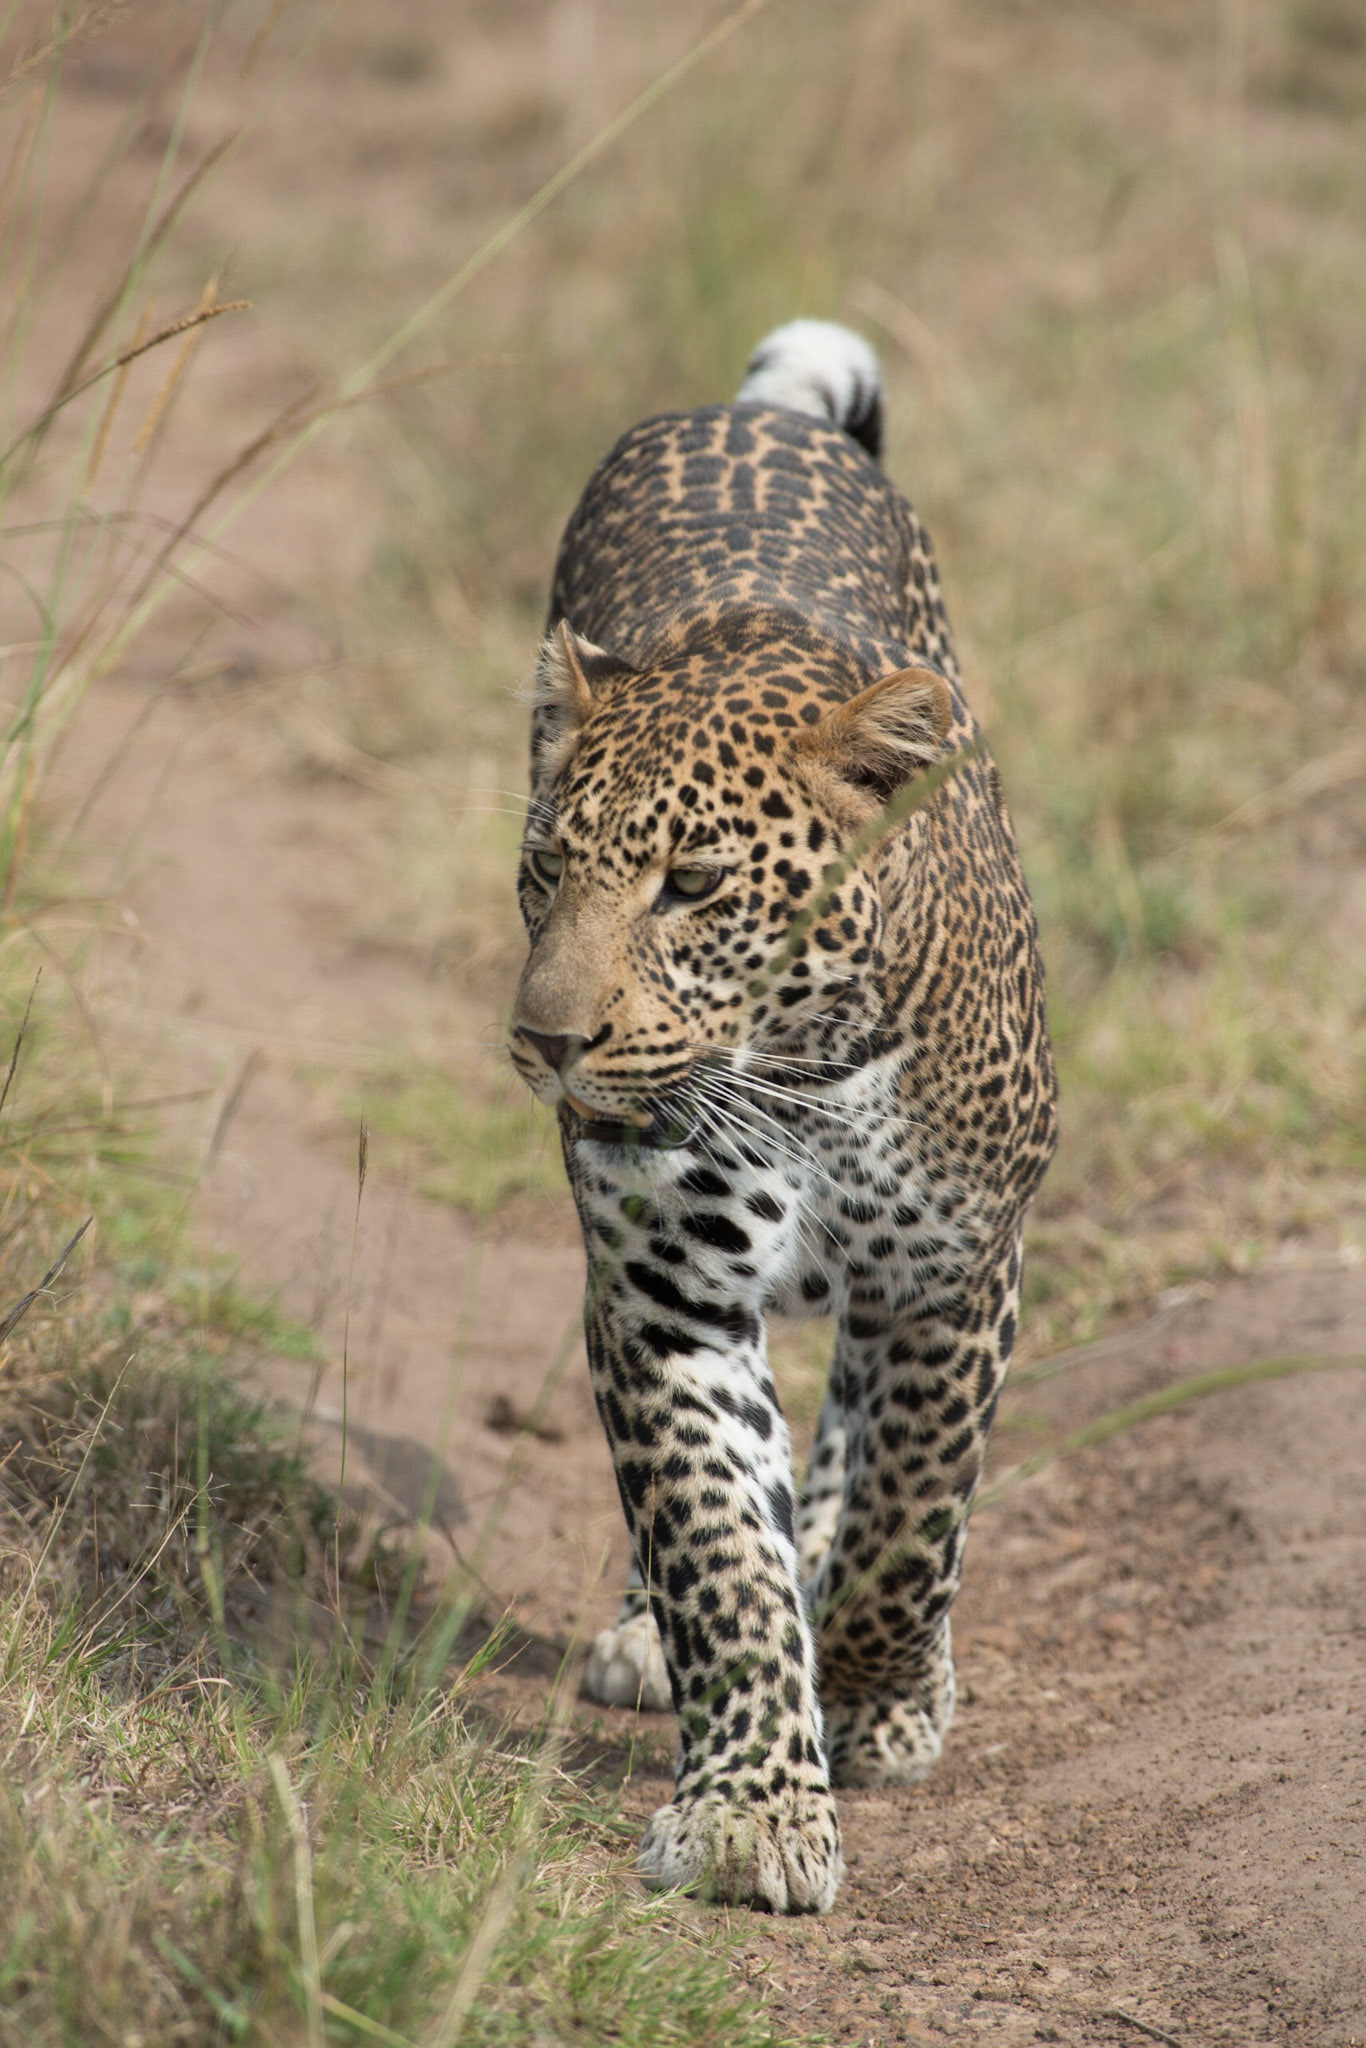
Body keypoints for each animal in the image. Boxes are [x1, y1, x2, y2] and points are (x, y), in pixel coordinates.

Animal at [508, 319, 1058, 1915]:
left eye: (691, 885)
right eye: (543, 872)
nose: (544, 1043)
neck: (801, 1071)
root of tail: (743, 414)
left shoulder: (956, 1273)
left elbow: (910, 1509)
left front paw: (875, 1697)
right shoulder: (661, 1295)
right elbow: (713, 1543)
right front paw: (751, 1805)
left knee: (856, 1443)